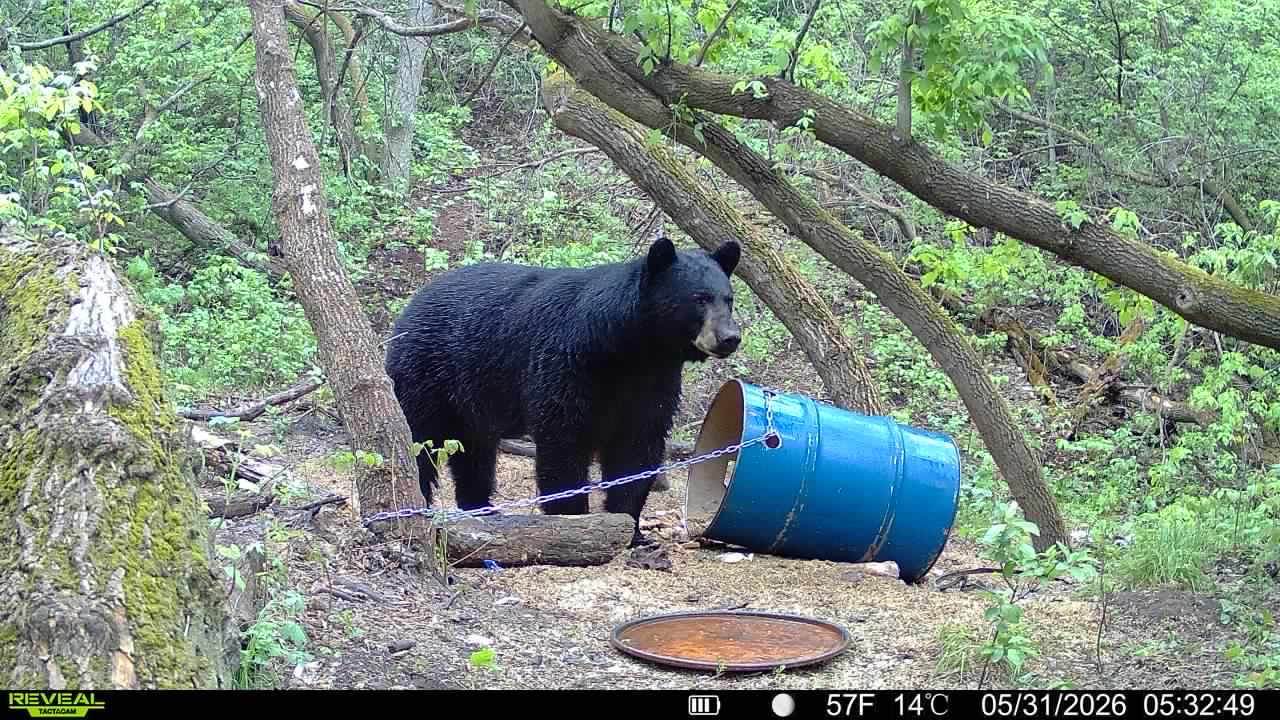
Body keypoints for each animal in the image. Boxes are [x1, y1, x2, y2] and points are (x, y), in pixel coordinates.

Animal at [383, 236, 743, 547]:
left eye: (728, 299)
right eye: (699, 298)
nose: (729, 338)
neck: (630, 349)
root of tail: (411, 305)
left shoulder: (652, 383)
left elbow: (637, 446)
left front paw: (631, 527)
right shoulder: (568, 364)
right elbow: (564, 441)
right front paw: (574, 519)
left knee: (475, 451)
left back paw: (482, 507)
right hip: (428, 373)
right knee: (419, 437)